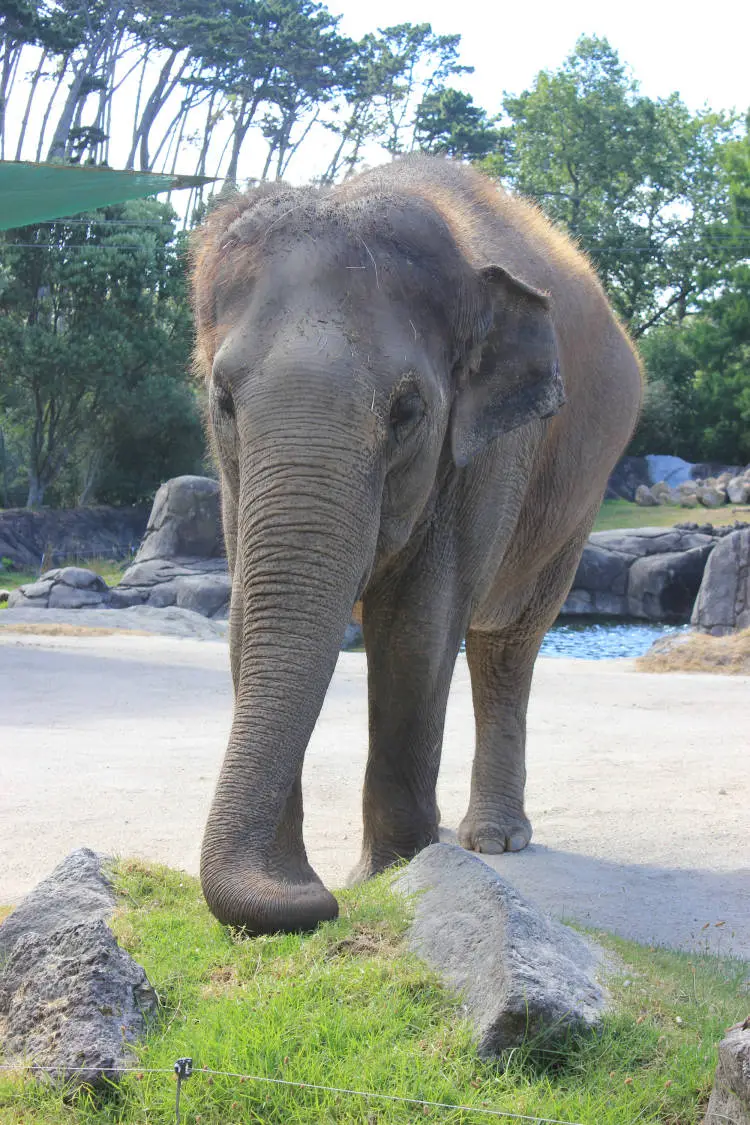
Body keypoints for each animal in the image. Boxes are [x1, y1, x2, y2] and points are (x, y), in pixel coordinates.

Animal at [191, 154, 643, 935]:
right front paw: (296, 878)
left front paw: (393, 876)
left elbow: (416, 627)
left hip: (577, 503)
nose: (319, 900)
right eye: (223, 400)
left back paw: (492, 841)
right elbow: (249, 615)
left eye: (407, 412)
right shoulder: (233, 479)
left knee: (507, 646)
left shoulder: (490, 449)